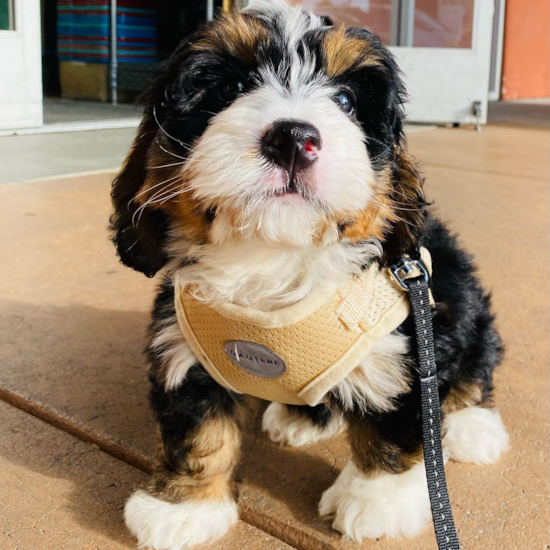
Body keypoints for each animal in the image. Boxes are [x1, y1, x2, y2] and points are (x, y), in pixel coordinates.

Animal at [110, 2, 512, 548]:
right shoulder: (184, 347)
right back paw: (304, 416)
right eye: (231, 88)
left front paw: (377, 502)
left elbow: (395, 420)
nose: (294, 138)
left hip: (454, 290)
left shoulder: (407, 341)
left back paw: (472, 426)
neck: (276, 256)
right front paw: (183, 507)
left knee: (475, 360)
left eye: (345, 101)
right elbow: (197, 425)